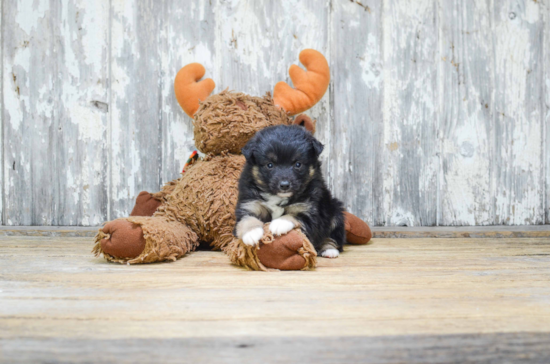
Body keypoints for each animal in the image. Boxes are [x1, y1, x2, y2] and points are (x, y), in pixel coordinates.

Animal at [235, 125, 348, 258]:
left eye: (298, 164)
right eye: (270, 165)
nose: (284, 185)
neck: (277, 197)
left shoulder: (309, 211)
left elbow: (293, 216)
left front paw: (279, 223)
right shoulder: (250, 204)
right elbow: (246, 219)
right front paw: (251, 234)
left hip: (335, 212)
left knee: (333, 237)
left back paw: (329, 250)